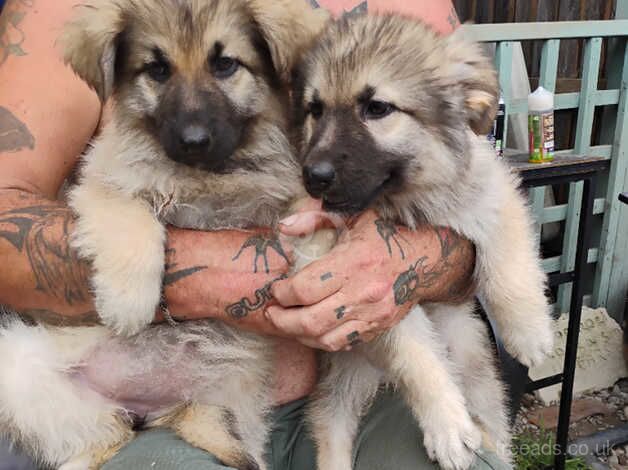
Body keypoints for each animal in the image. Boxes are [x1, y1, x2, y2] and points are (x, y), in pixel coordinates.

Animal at [0, 0, 328, 470]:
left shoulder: (283, 186)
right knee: (98, 438)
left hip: (231, 404)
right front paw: (128, 303)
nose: (193, 140)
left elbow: (309, 207)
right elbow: (135, 224)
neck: (205, 174)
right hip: (19, 369)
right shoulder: (105, 185)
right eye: (156, 69)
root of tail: (152, 407)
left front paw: (324, 262)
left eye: (225, 64)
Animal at [294, 12, 556, 470]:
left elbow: (508, 264)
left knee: (491, 417)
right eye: (315, 109)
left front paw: (528, 330)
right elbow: (416, 357)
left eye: (377, 108)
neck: (406, 201)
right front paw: (447, 425)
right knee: (332, 426)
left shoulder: (493, 194)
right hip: (342, 378)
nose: (314, 177)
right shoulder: (375, 297)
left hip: (473, 366)